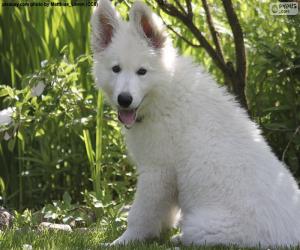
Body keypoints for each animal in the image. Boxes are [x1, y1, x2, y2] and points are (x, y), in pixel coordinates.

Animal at [90, 0, 300, 246]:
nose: (124, 99)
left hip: (203, 225)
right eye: (116, 69)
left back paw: (178, 239)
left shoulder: (157, 172)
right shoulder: (167, 178)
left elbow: (141, 214)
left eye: (142, 72)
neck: (164, 93)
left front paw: (124, 241)